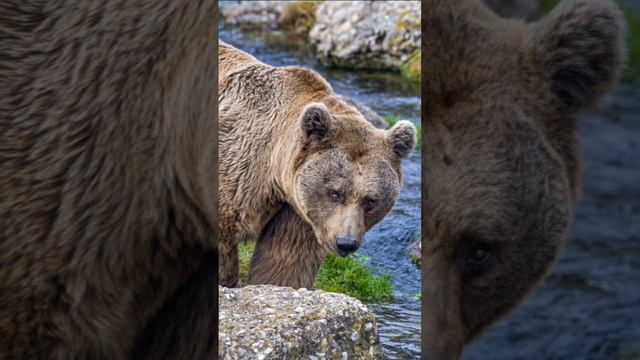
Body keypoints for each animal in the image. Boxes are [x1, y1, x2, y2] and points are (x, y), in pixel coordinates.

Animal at [218, 42, 418, 288]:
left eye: (370, 200)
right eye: (335, 193)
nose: (346, 243)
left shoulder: (301, 212)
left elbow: (285, 265)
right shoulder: (238, 174)